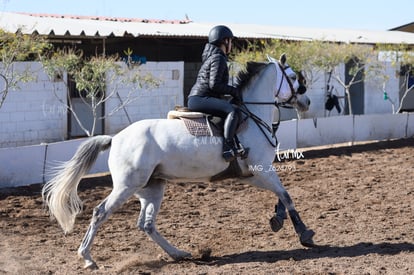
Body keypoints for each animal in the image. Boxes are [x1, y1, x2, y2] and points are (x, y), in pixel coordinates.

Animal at [42, 54, 314, 270]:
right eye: (291, 76)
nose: (306, 102)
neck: (251, 115)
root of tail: (116, 138)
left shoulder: (254, 174)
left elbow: (281, 195)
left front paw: (278, 219)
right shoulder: (261, 171)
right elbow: (286, 195)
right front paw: (305, 234)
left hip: (151, 187)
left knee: (146, 224)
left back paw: (178, 253)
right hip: (127, 186)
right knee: (100, 213)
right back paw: (88, 258)